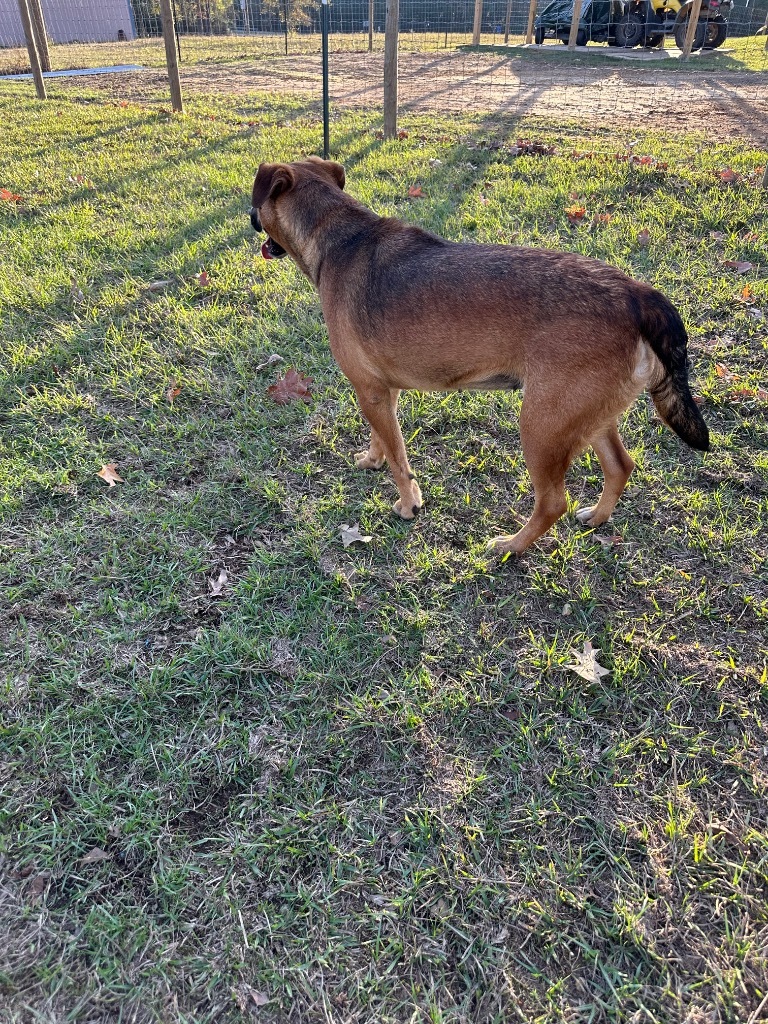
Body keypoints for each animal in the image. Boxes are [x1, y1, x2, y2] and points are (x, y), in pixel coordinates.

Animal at [250, 153, 708, 552]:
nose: (250, 220)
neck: (338, 234)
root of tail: (635, 294)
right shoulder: (380, 391)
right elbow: (383, 439)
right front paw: (372, 459)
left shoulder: (370, 391)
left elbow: (399, 457)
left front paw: (408, 503)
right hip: (585, 415)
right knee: (620, 466)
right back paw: (597, 517)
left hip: (542, 426)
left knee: (553, 503)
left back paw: (512, 546)